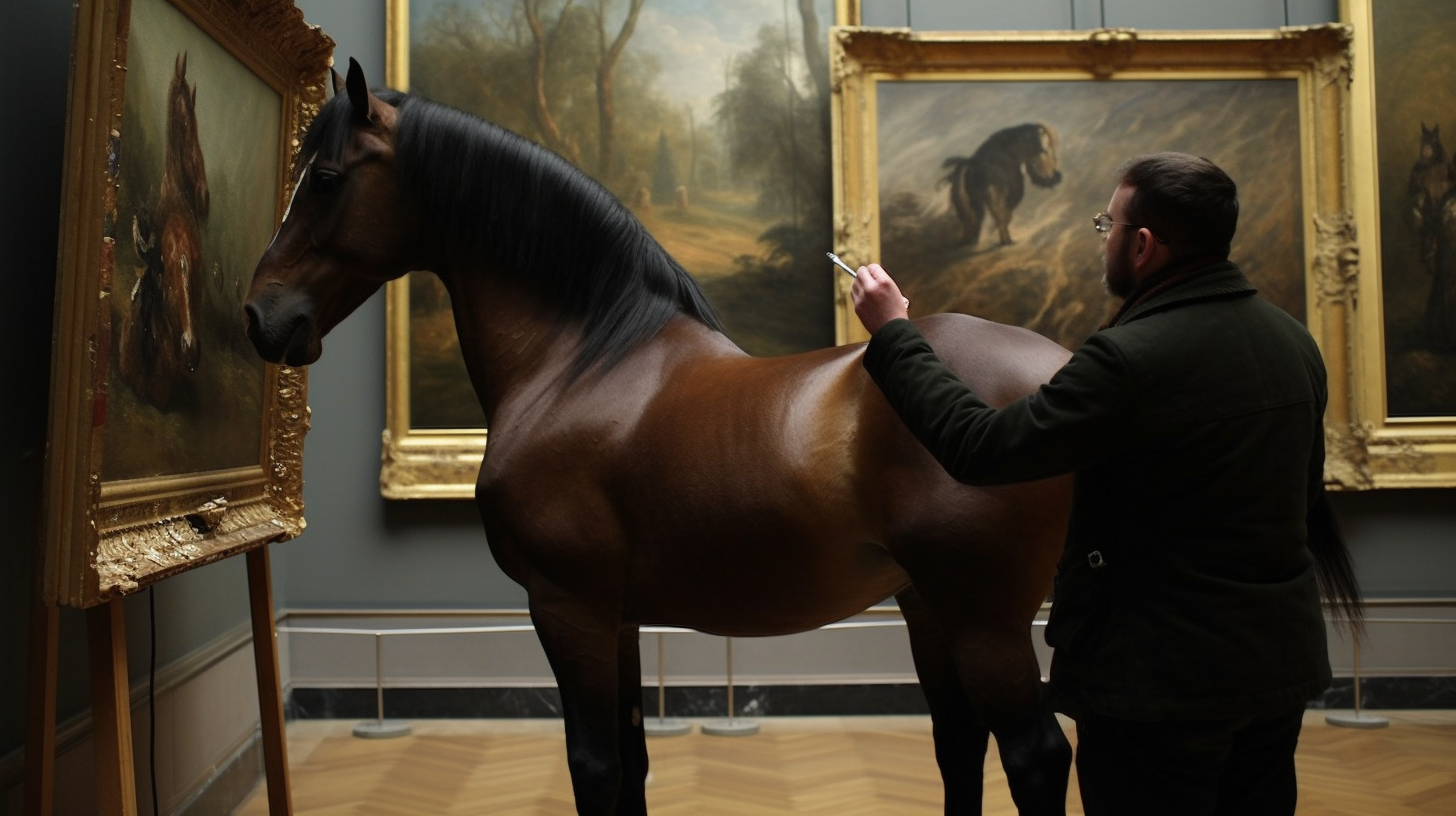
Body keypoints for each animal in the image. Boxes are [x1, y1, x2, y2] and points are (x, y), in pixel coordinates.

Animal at [244, 59, 1077, 816]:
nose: (260, 316)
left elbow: (596, 767)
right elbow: (636, 763)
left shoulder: (567, 606)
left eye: (325, 177)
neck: (582, 361)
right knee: (958, 743)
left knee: (1035, 755)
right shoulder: (617, 617)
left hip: (983, 620)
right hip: (927, 607)